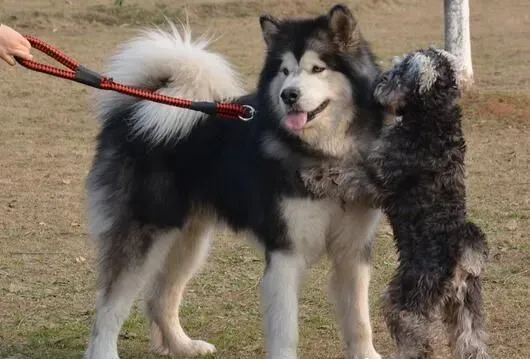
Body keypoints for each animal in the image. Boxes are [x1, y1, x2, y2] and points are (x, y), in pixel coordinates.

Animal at [84, 4, 386, 359]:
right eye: (285, 70)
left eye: (317, 68)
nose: (288, 95)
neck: (325, 154)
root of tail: (137, 106)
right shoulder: (285, 252)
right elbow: (285, 331)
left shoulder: (353, 252)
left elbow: (359, 321)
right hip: (146, 232)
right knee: (109, 306)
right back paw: (105, 350)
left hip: (189, 238)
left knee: (159, 297)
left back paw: (183, 346)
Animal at [300, 48, 488, 359]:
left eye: (399, 70)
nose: (379, 80)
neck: (434, 116)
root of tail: (462, 259)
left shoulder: (375, 178)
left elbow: (343, 173)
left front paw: (312, 174)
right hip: (465, 305)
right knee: (473, 342)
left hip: (405, 303)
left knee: (418, 344)